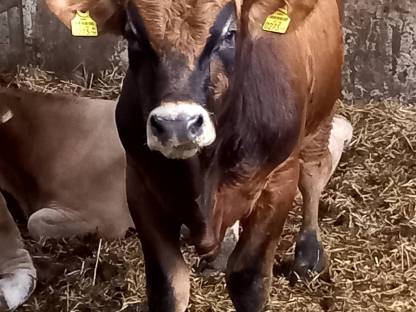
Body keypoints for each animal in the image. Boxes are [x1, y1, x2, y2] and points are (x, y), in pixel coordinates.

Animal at [47, 0, 350, 312]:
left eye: (230, 34)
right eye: (132, 36)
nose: (177, 124)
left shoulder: (278, 180)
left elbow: (248, 283)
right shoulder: (140, 184)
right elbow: (169, 288)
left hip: (324, 105)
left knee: (314, 171)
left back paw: (309, 252)